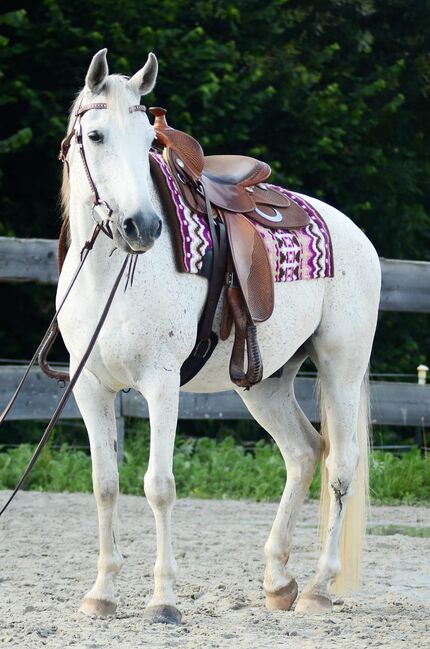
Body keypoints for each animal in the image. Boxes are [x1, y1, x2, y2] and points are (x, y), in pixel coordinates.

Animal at [56, 49, 380, 624]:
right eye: (95, 135)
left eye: (148, 139)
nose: (143, 227)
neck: (106, 276)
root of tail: (353, 232)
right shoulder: (90, 387)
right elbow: (105, 485)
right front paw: (102, 593)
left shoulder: (161, 384)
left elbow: (159, 487)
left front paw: (163, 601)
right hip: (265, 382)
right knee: (303, 452)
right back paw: (277, 581)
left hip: (342, 365)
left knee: (340, 465)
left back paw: (318, 588)